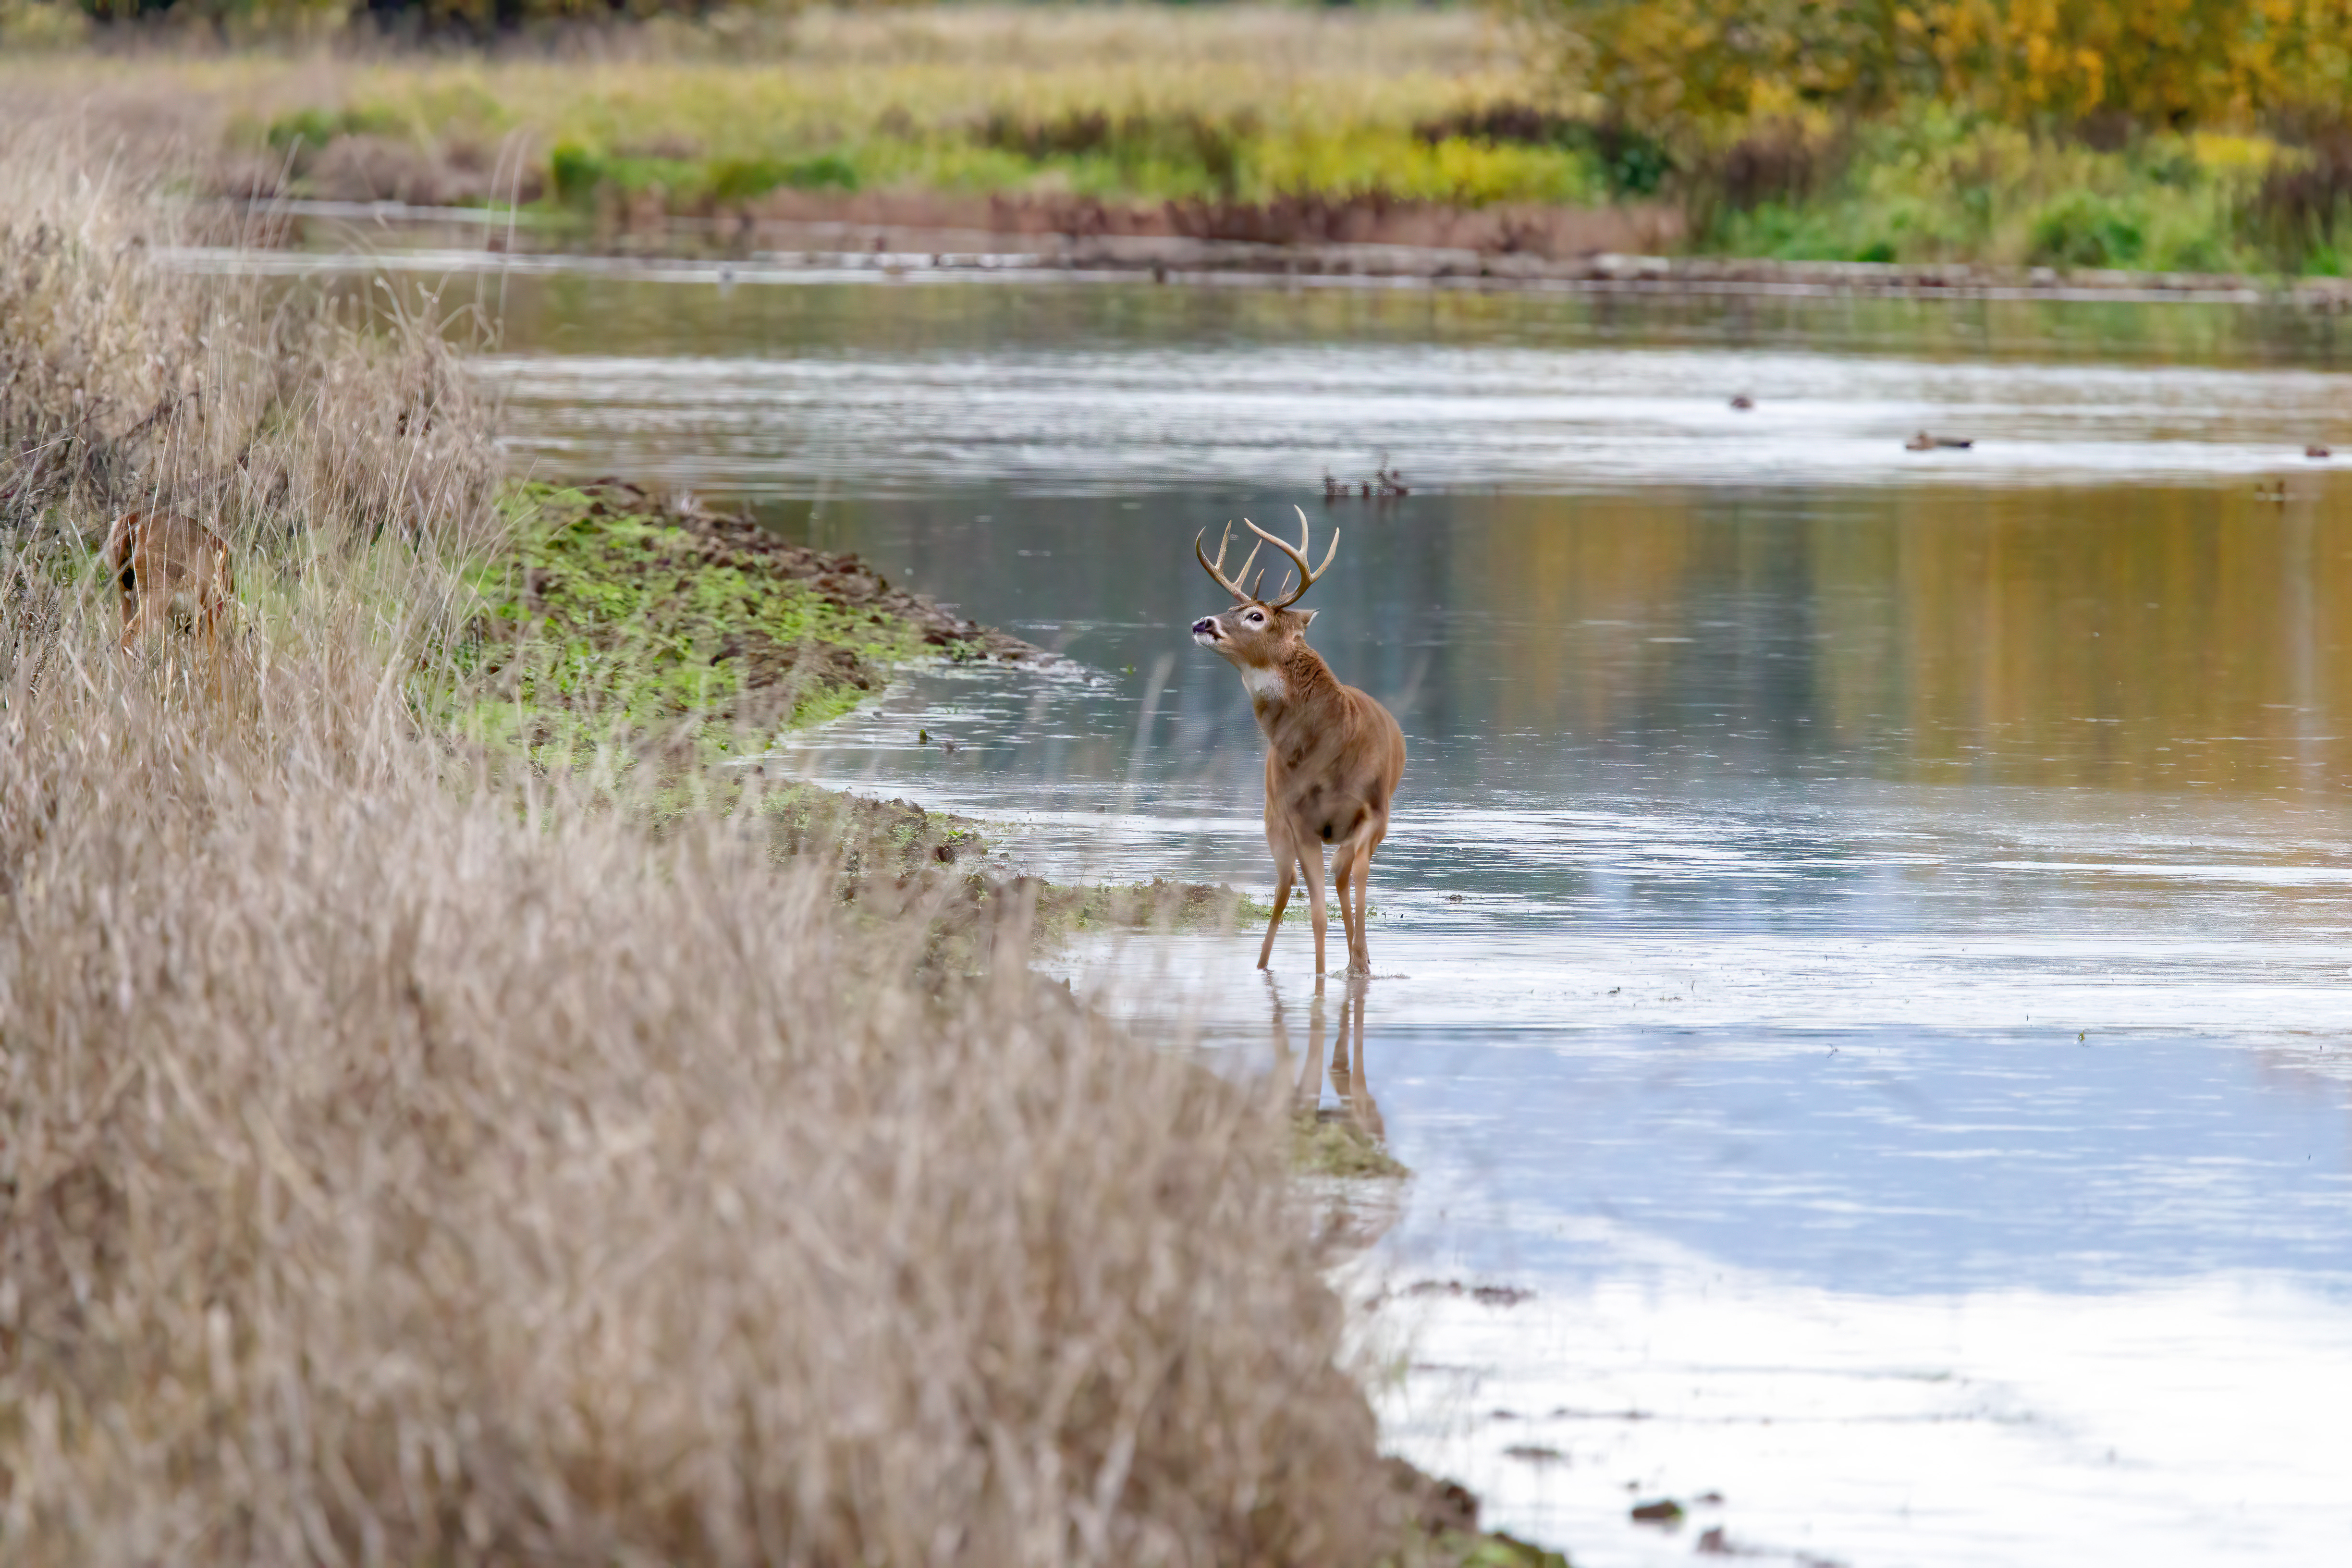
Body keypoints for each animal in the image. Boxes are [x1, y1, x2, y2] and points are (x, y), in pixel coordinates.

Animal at [1191, 506, 1405, 976]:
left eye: (1257, 616)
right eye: (1232, 606)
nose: (1202, 622)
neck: (1331, 738)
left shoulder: (1376, 812)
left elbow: (1349, 877)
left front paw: (1358, 962)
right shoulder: (1295, 817)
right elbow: (1316, 906)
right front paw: (1327, 974)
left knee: (1344, 877)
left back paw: (1358, 959)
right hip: (1273, 816)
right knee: (1287, 886)